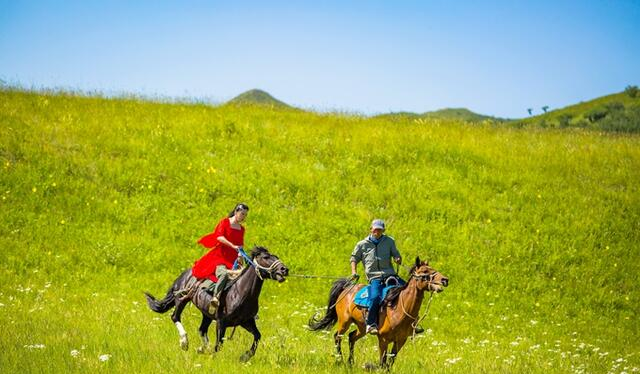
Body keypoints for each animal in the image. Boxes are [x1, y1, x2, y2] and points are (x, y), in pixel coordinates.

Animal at [145, 245, 288, 362]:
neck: (240, 292)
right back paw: (184, 342)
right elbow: (219, 345)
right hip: (181, 299)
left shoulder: (246, 321)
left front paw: (245, 356)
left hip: (206, 313)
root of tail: (185, 273)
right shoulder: (221, 322)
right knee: (175, 317)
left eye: (276, 257)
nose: (284, 269)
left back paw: (202, 349)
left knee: (202, 329)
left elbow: (257, 336)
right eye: (266, 257)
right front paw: (214, 359)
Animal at [308, 258, 448, 370]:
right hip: (344, 321)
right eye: (425, 271)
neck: (398, 311)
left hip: (362, 327)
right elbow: (383, 362)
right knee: (337, 337)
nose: (445, 280)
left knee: (352, 336)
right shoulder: (383, 339)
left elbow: (390, 362)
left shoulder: (401, 340)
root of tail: (348, 287)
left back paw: (350, 362)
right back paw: (340, 361)